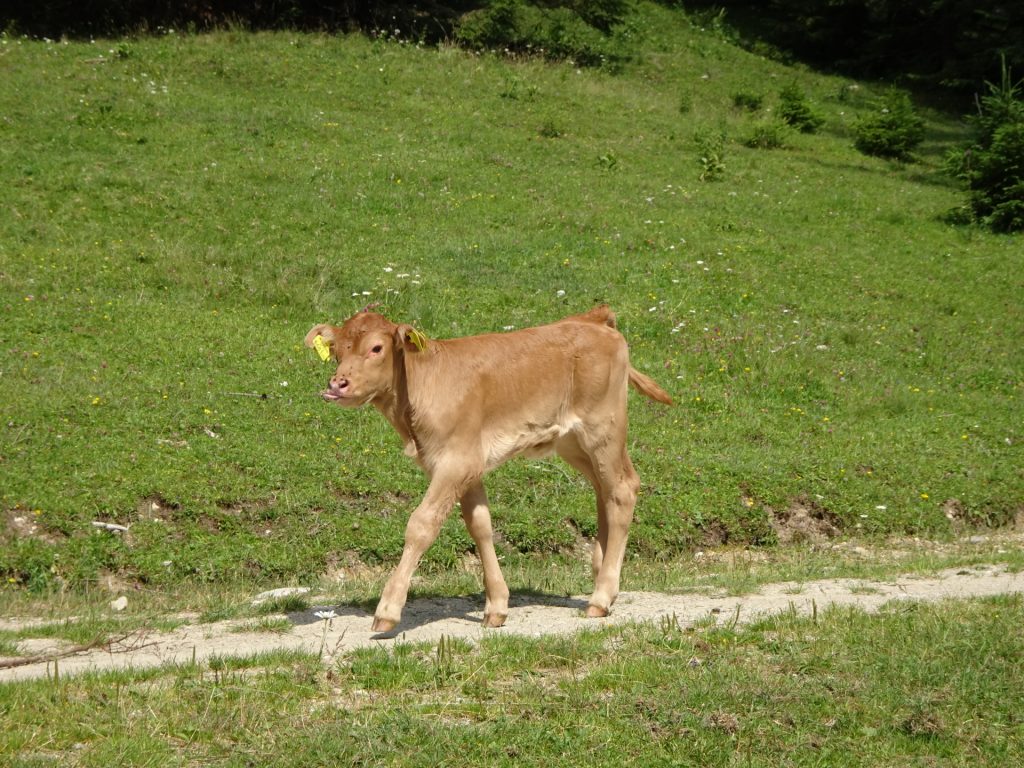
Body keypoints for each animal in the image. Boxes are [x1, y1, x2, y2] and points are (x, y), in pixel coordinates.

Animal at [303, 303, 671, 634]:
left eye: (376, 348)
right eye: (337, 350)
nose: (337, 384)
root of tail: (592, 319)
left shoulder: (456, 461)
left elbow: (421, 524)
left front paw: (388, 610)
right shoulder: (466, 466)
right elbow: (480, 525)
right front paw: (496, 606)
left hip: (604, 428)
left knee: (622, 489)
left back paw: (601, 596)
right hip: (573, 441)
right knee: (603, 490)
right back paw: (602, 579)